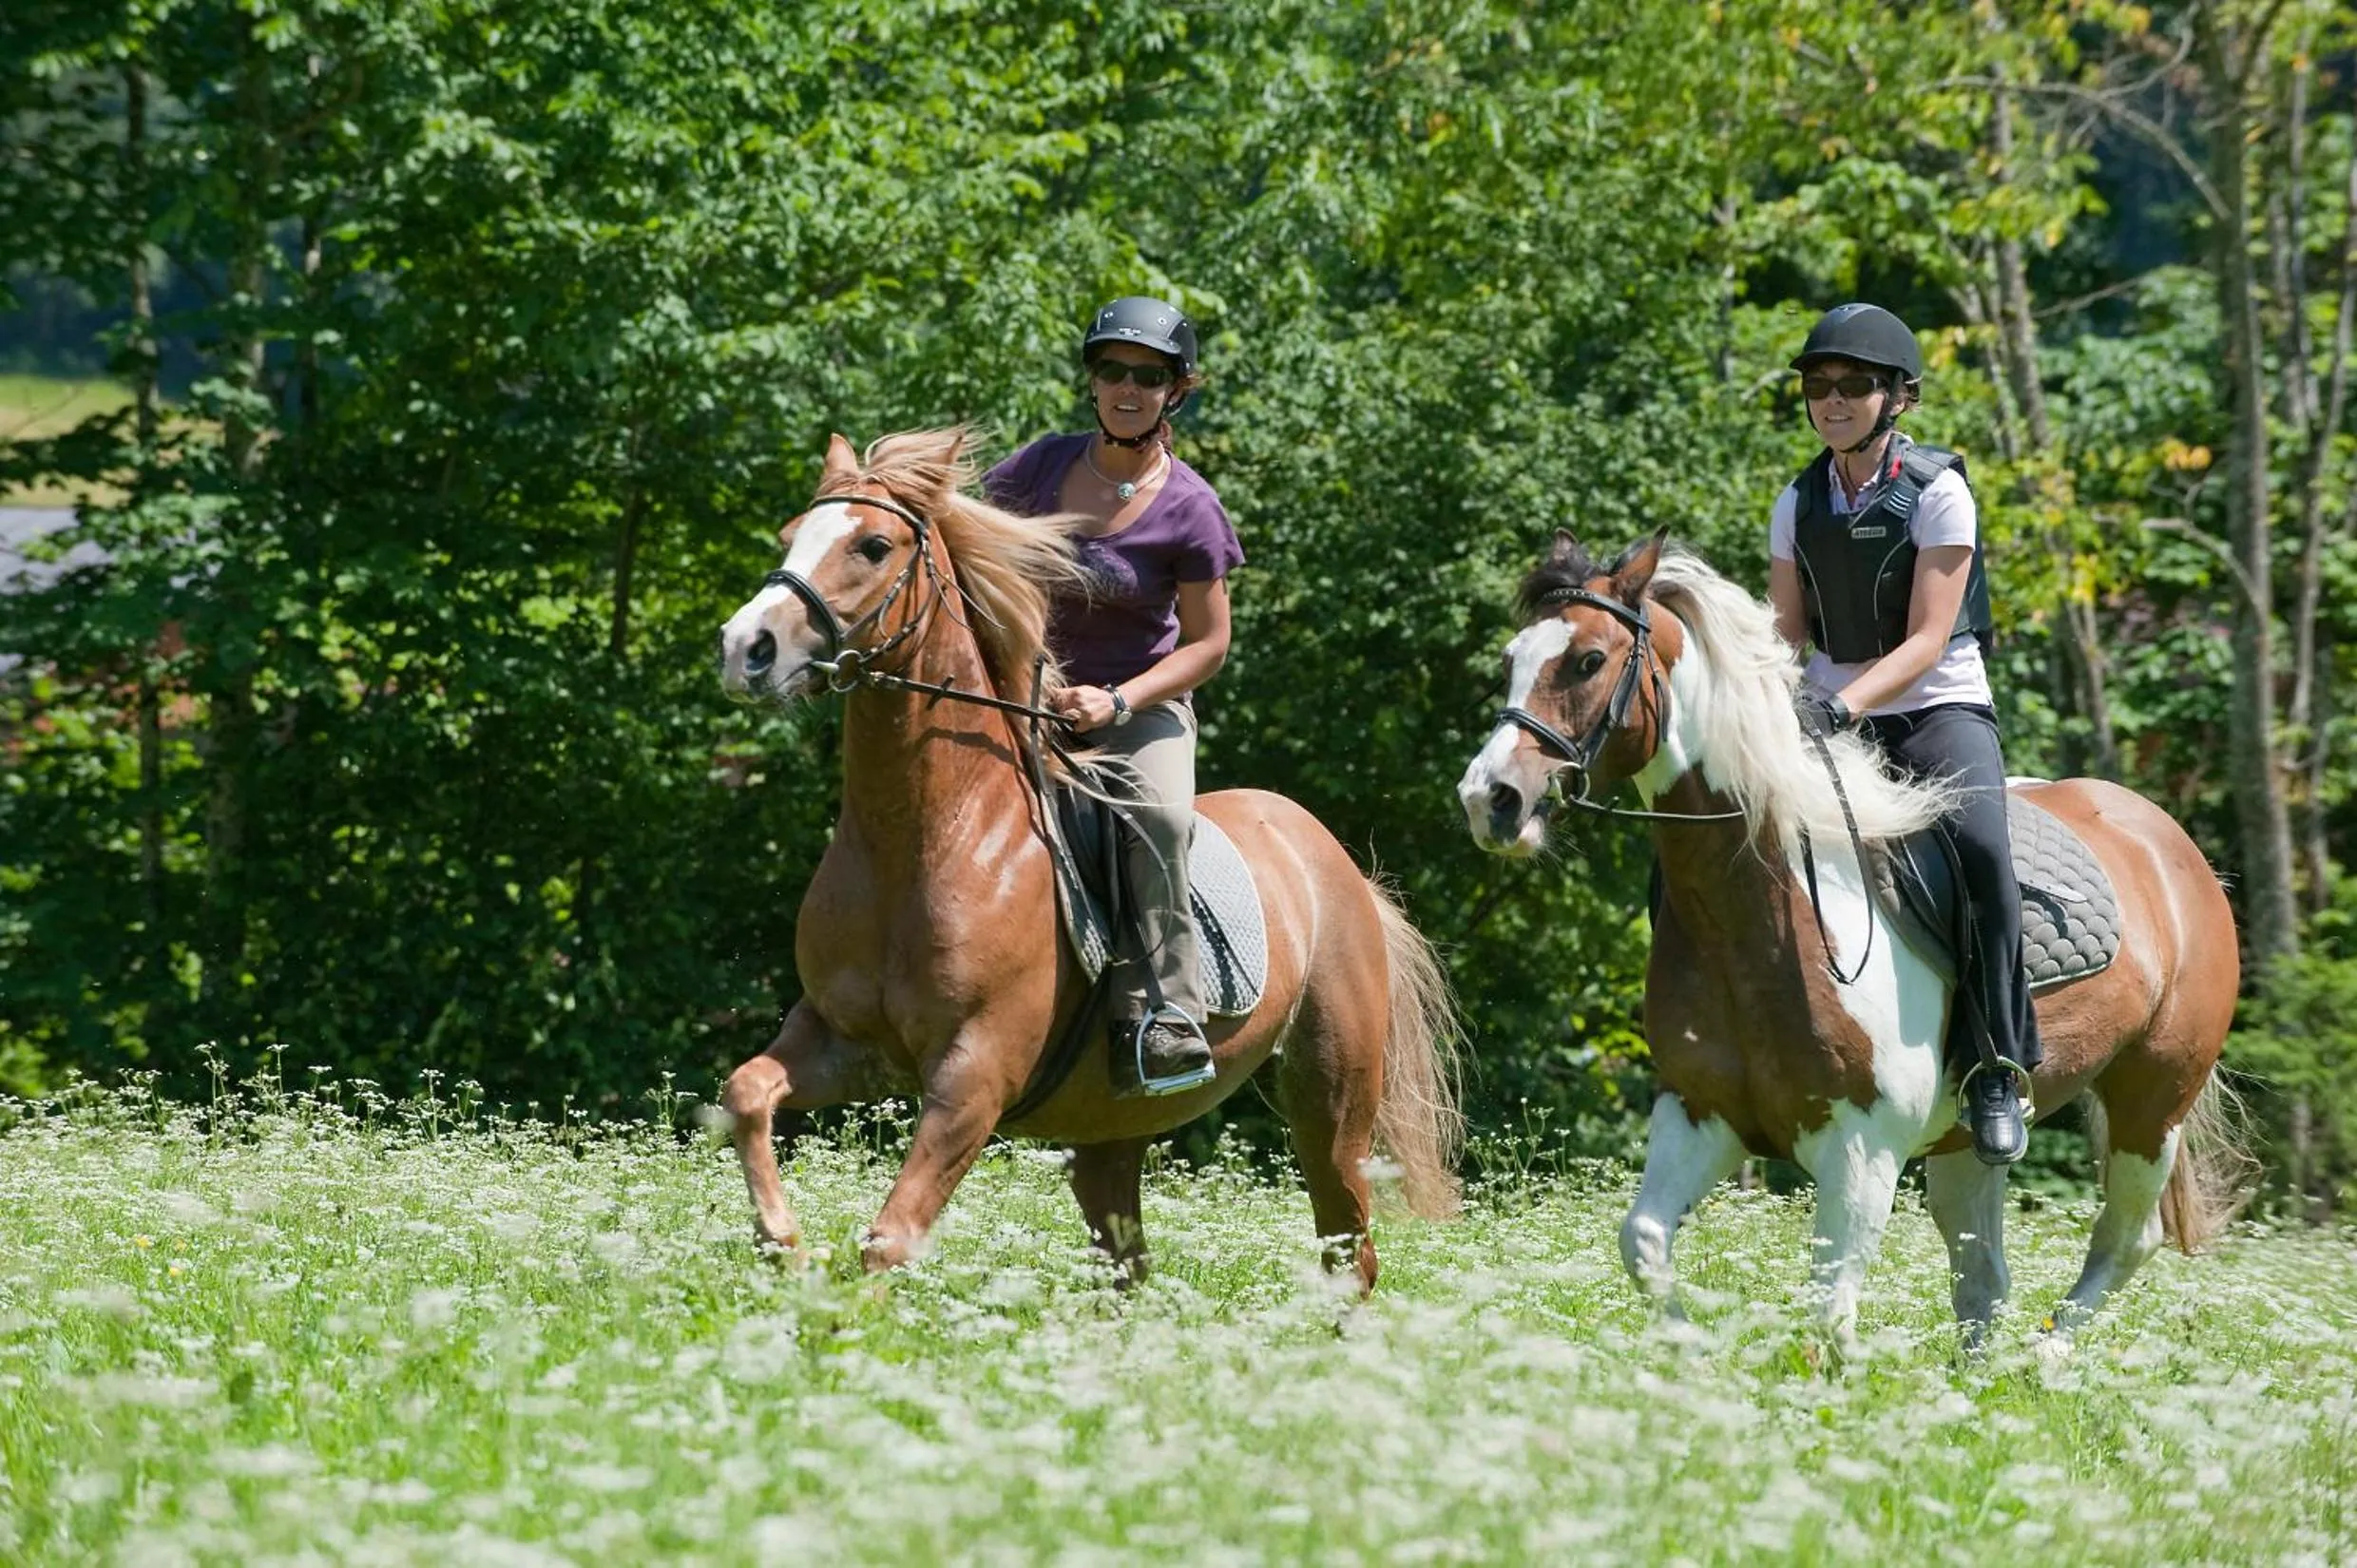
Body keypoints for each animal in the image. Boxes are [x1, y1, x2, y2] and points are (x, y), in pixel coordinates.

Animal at [713, 429, 1462, 1289]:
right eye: (789, 535)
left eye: (873, 545)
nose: (746, 649)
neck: (929, 835)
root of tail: (1334, 861)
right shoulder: (843, 1041)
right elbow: (746, 1092)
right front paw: (781, 1242)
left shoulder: (973, 1079)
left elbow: (891, 1239)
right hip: (1113, 1126)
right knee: (1127, 1264)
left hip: (1331, 1104)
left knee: (1350, 1255)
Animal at [1456, 529, 2248, 1347]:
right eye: (1514, 658)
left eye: (1588, 659)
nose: (1490, 799)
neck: (1760, 921)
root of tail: (2166, 841)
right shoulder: (1699, 1115)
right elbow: (1642, 1242)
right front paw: (1688, 1353)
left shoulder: (1862, 1153)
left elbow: (1829, 1317)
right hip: (1968, 1144)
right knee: (1984, 1276)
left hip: (2153, 1099)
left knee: (2126, 1240)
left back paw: (2047, 1356)